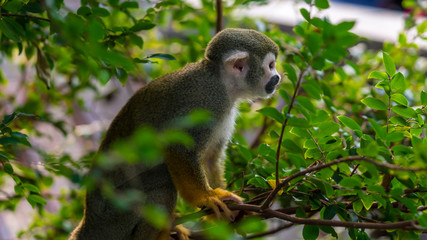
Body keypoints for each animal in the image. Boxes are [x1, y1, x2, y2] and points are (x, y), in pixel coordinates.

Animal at [70, 28, 280, 240]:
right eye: (270, 66)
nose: (278, 77)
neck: (221, 82)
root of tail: (88, 222)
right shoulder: (205, 102)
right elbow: (178, 148)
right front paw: (205, 197)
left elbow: (210, 158)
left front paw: (226, 211)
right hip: (115, 214)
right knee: (163, 186)